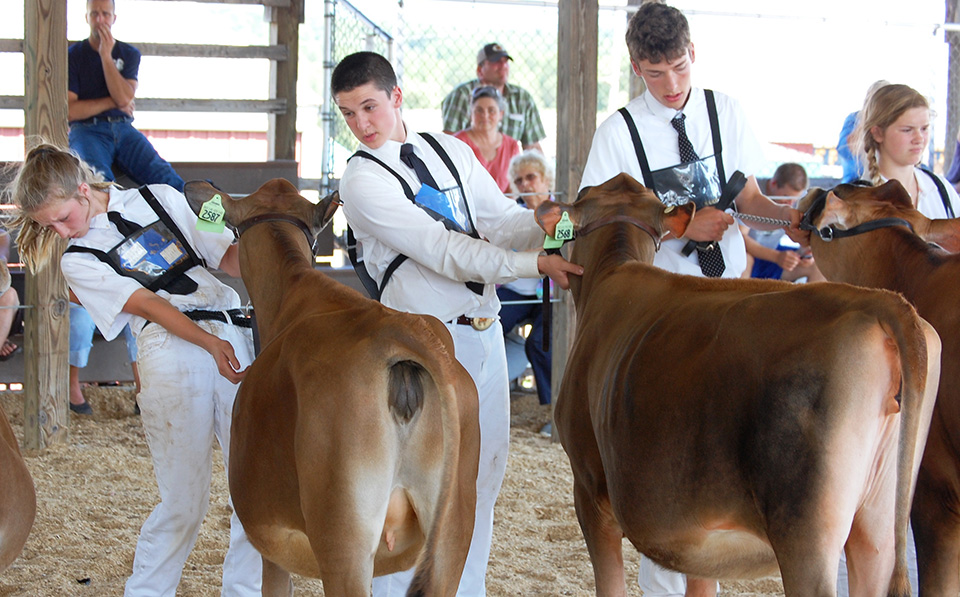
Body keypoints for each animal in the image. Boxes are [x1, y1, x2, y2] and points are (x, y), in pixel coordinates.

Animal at [540, 173, 936, 596]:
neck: (611, 269)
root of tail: (879, 302)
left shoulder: (588, 488)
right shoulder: (695, 538)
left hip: (807, 532)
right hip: (876, 522)